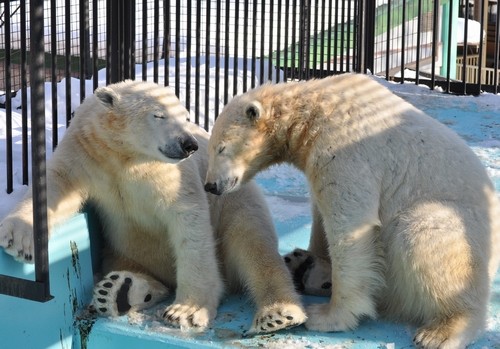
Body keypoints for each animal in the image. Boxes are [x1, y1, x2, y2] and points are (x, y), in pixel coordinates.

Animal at [0, 80, 306, 334]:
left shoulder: (172, 175)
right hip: (124, 248)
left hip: (235, 201)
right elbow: (56, 186)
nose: (189, 144)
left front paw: (186, 311)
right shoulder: (86, 151)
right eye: (159, 115)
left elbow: (189, 223)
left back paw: (279, 312)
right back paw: (119, 290)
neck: (126, 155)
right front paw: (18, 239)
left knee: (253, 243)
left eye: (186, 117)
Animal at [203, 72, 500, 346]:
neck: (311, 110)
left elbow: (350, 224)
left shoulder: (345, 148)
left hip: (455, 230)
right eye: (212, 148)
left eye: (221, 148)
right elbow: (320, 214)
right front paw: (313, 261)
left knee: (424, 239)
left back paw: (441, 331)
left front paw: (328, 317)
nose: (211, 185)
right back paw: (301, 266)